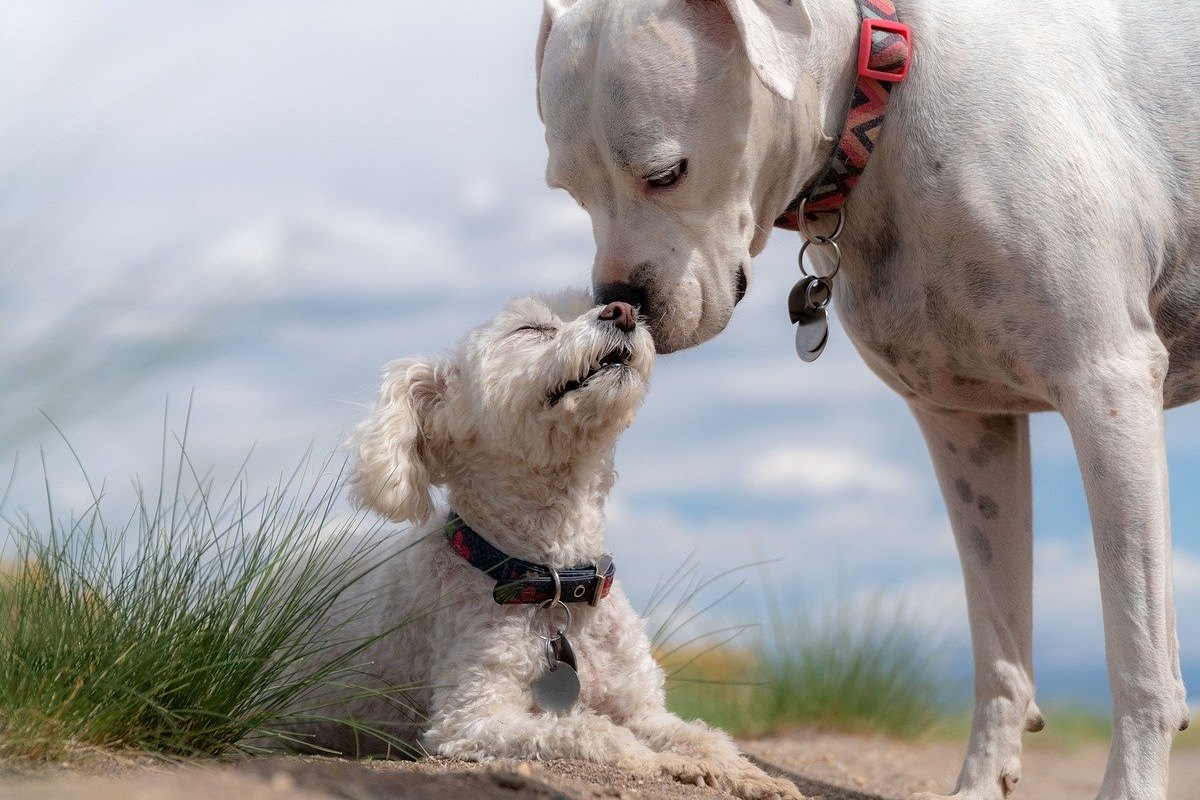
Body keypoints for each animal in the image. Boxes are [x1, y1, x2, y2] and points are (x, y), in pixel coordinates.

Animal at [286, 291, 801, 800]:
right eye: (531, 329)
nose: (624, 311)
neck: (553, 580)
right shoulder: (470, 719)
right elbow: (597, 733)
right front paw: (667, 763)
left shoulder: (641, 707)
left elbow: (704, 736)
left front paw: (753, 775)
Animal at [540, 1, 1195, 800]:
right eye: (569, 191)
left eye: (666, 174)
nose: (619, 303)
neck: (883, 91)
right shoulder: (968, 428)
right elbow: (999, 641)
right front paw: (980, 781)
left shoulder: (1108, 386)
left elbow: (1138, 651)